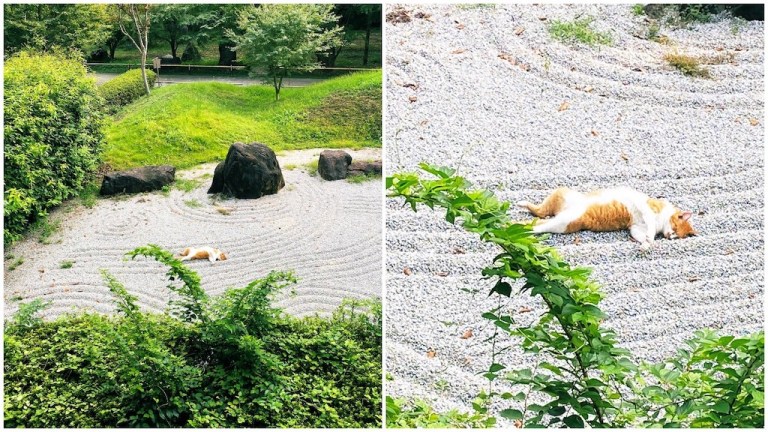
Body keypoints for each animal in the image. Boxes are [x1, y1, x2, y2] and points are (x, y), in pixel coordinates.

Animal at [516, 186, 696, 250]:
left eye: (676, 236)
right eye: (674, 229)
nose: (670, 236)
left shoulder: (635, 228)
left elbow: (642, 236)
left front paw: (646, 244)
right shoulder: (646, 208)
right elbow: (650, 225)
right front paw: (650, 239)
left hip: (560, 221)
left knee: (539, 218)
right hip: (561, 205)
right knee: (538, 216)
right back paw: (521, 206)